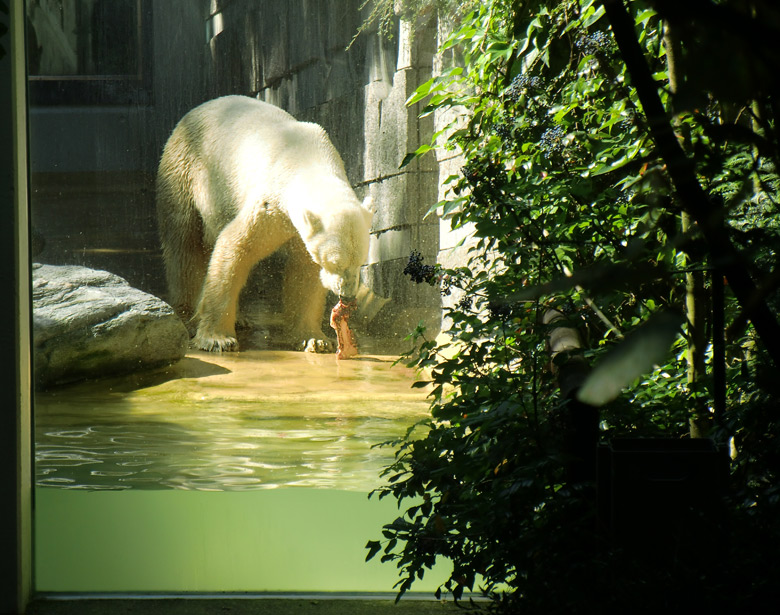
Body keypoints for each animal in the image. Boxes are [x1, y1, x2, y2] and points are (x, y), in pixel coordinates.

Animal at [156, 93, 374, 352]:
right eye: (335, 262)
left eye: (360, 260)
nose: (347, 296)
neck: (307, 157)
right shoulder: (271, 202)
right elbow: (236, 245)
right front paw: (217, 339)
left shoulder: (295, 224)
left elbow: (305, 269)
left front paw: (316, 339)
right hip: (184, 173)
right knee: (184, 245)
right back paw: (187, 314)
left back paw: (239, 318)